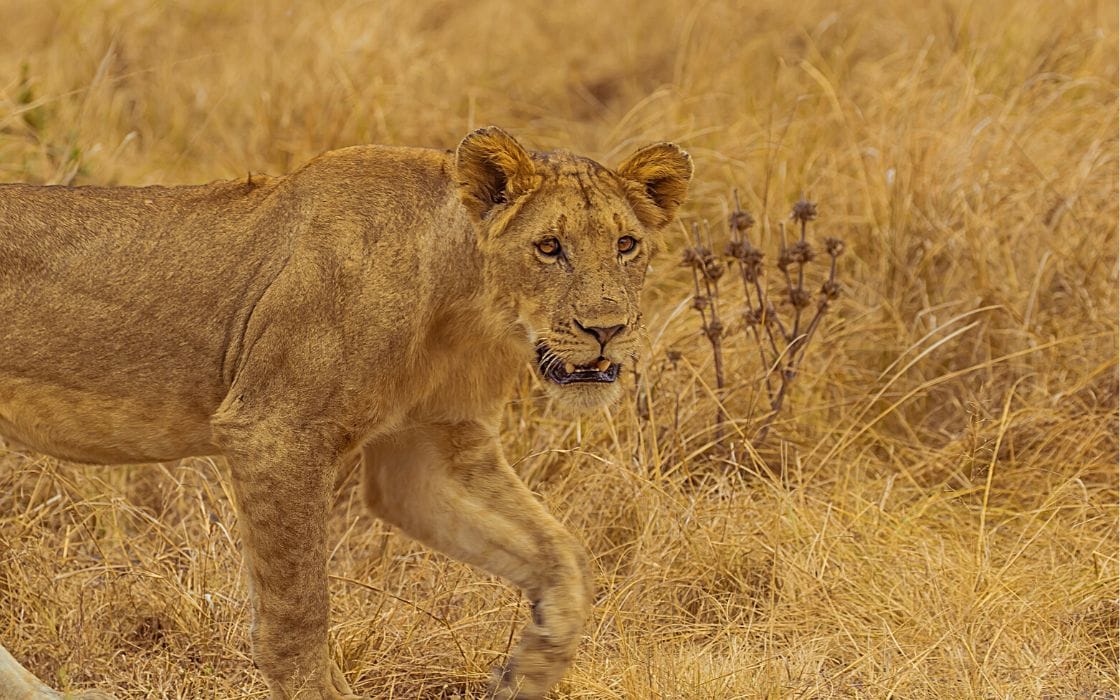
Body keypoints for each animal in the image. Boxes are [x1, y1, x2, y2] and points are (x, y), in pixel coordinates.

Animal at [0, 126, 691, 699]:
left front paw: (527, 672)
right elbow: (298, 618)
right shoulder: (276, 432)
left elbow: (563, 557)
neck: (465, 307)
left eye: (626, 244)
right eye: (549, 247)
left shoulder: (430, 454)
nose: (607, 330)